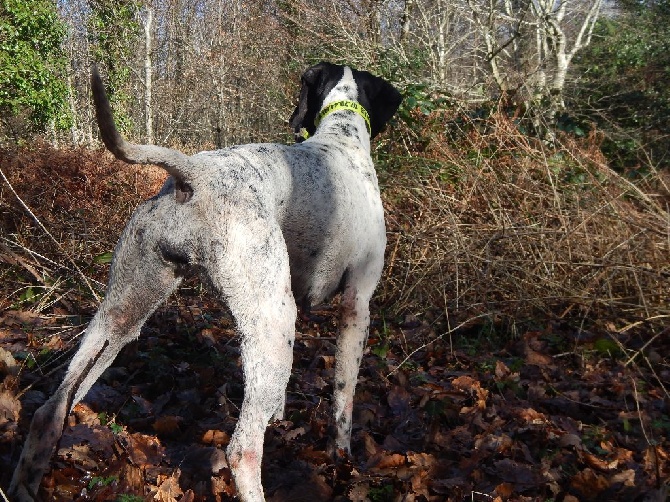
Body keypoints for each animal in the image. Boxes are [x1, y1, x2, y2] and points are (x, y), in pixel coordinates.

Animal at [7, 62, 402, 502]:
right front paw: (342, 457)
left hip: (120, 315)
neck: (340, 136)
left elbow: (279, 399)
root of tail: (195, 174)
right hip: (273, 320)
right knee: (242, 450)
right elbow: (343, 397)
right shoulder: (357, 304)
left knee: (50, 411)